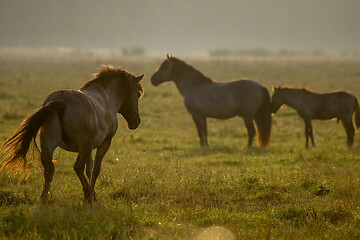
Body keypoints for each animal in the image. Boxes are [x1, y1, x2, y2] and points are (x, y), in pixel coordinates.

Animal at [0, 65, 143, 202]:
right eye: (137, 94)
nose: (136, 121)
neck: (106, 97)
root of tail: (61, 100)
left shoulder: (90, 148)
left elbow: (89, 168)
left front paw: (92, 193)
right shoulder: (103, 144)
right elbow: (95, 169)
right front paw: (92, 194)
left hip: (49, 143)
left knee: (49, 169)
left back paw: (44, 199)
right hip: (83, 146)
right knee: (77, 167)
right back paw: (87, 193)